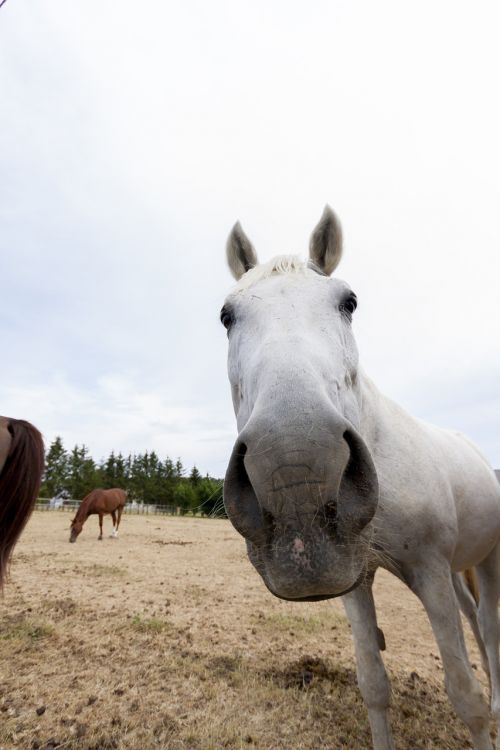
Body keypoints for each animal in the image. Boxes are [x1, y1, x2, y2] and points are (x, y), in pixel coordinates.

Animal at [221, 206, 500, 750]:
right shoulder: (355, 576)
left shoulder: (430, 571)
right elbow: (374, 684)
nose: (297, 476)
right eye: (227, 316)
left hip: (490, 560)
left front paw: (483, 713)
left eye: (348, 303)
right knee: (477, 622)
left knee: (490, 627)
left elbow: (465, 697)